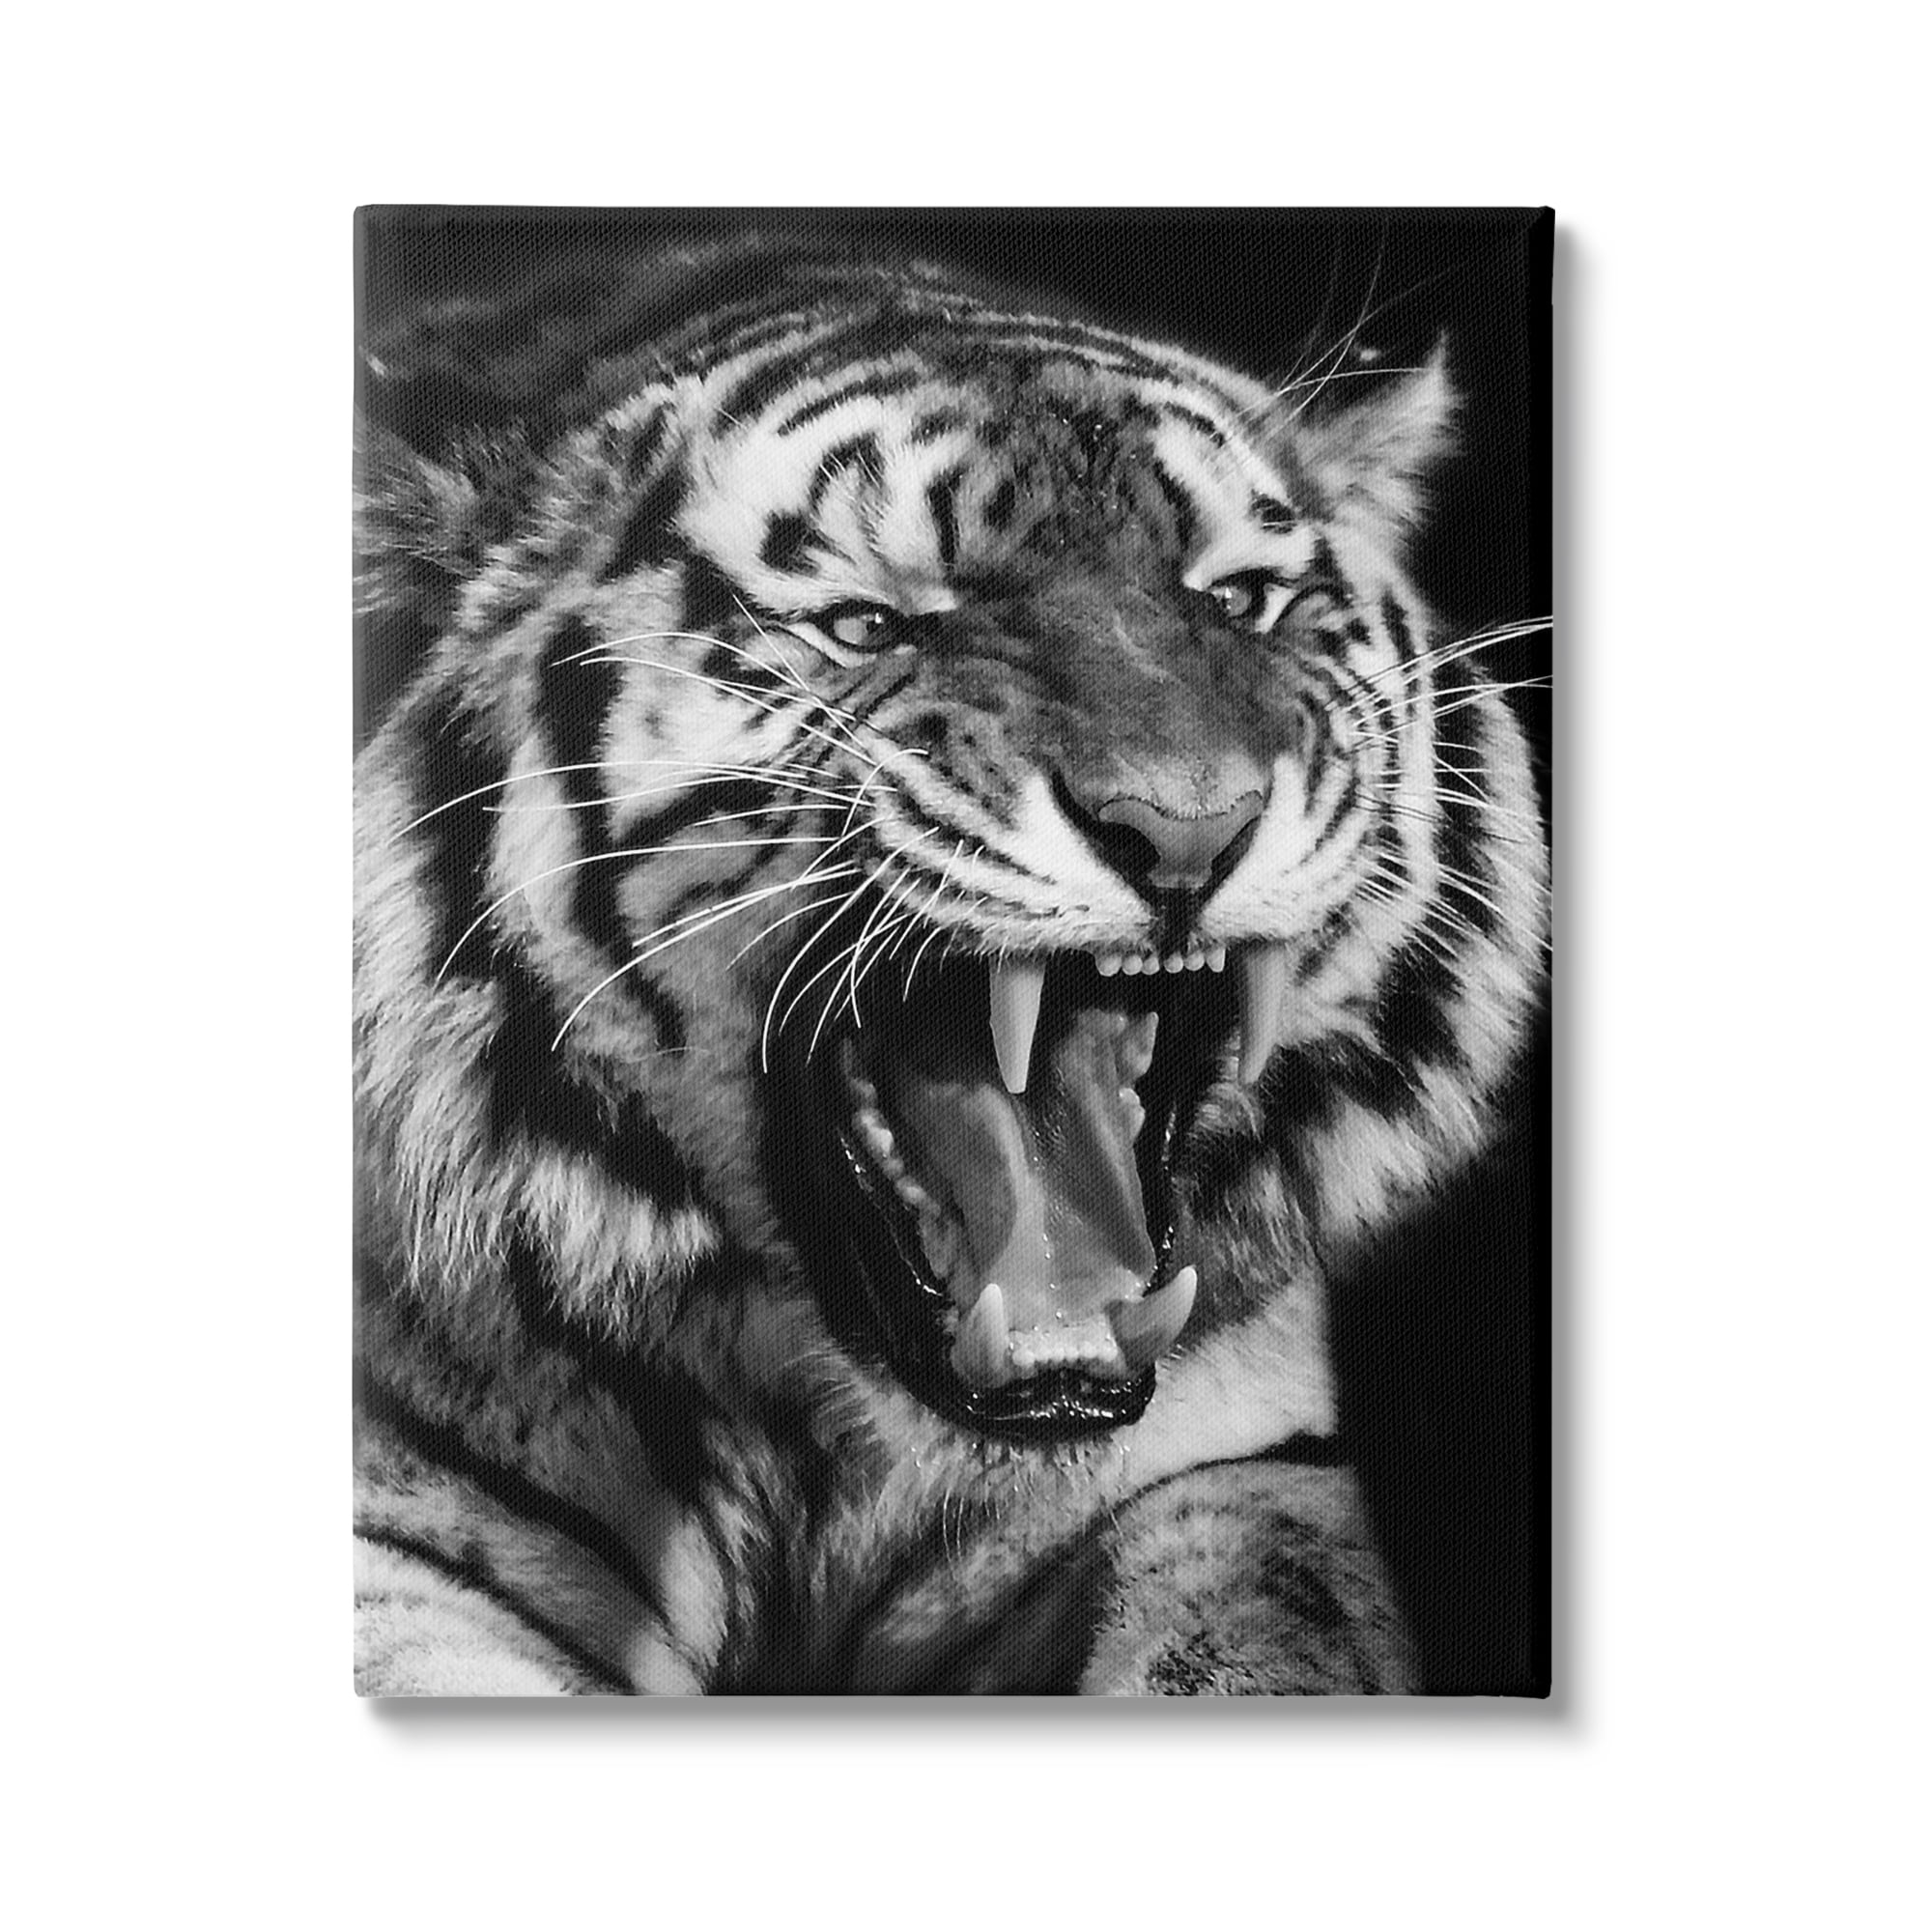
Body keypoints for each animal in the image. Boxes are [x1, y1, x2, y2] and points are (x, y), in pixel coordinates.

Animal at [352, 231, 1549, 1695]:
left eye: (1240, 603)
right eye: (872, 626)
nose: (1187, 828)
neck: (818, 1440)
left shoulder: (1237, 1466)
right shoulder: (400, 1539)